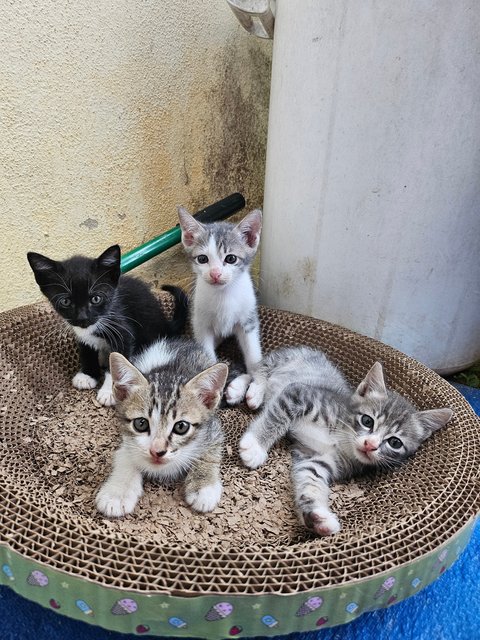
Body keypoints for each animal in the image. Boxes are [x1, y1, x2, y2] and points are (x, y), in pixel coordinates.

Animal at [25, 244, 188, 404]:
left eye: (96, 299)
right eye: (65, 301)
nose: (83, 317)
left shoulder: (122, 331)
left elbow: (117, 360)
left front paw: (109, 392)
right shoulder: (81, 333)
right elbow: (86, 350)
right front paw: (88, 375)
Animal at [95, 338, 229, 516]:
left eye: (181, 427)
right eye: (141, 423)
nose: (157, 452)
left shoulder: (213, 428)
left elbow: (210, 451)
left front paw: (204, 488)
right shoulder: (126, 438)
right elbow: (126, 455)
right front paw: (117, 493)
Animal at [178, 206, 262, 404]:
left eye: (231, 259)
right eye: (202, 259)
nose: (215, 273)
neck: (224, 296)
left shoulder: (248, 321)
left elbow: (254, 357)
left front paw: (259, 386)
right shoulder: (200, 323)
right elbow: (208, 357)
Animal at [240, 344, 454, 536]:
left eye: (395, 443)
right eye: (367, 421)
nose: (370, 445)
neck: (340, 441)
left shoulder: (316, 459)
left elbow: (310, 480)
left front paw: (316, 515)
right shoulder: (298, 394)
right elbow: (274, 418)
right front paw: (255, 446)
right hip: (285, 358)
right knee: (258, 369)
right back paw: (251, 392)